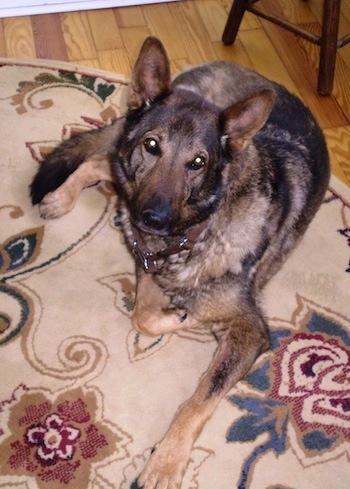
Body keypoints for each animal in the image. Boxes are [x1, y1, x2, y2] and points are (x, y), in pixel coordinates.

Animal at [29, 36, 328, 486]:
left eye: (198, 163)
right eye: (152, 145)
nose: (151, 217)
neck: (199, 228)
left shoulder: (250, 331)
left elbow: (197, 398)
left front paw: (165, 462)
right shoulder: (146, 264)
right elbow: (143, 315)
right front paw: (180, 315)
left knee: (102, 164)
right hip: (124, 182)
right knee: (100, 161)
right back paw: (60, 197)